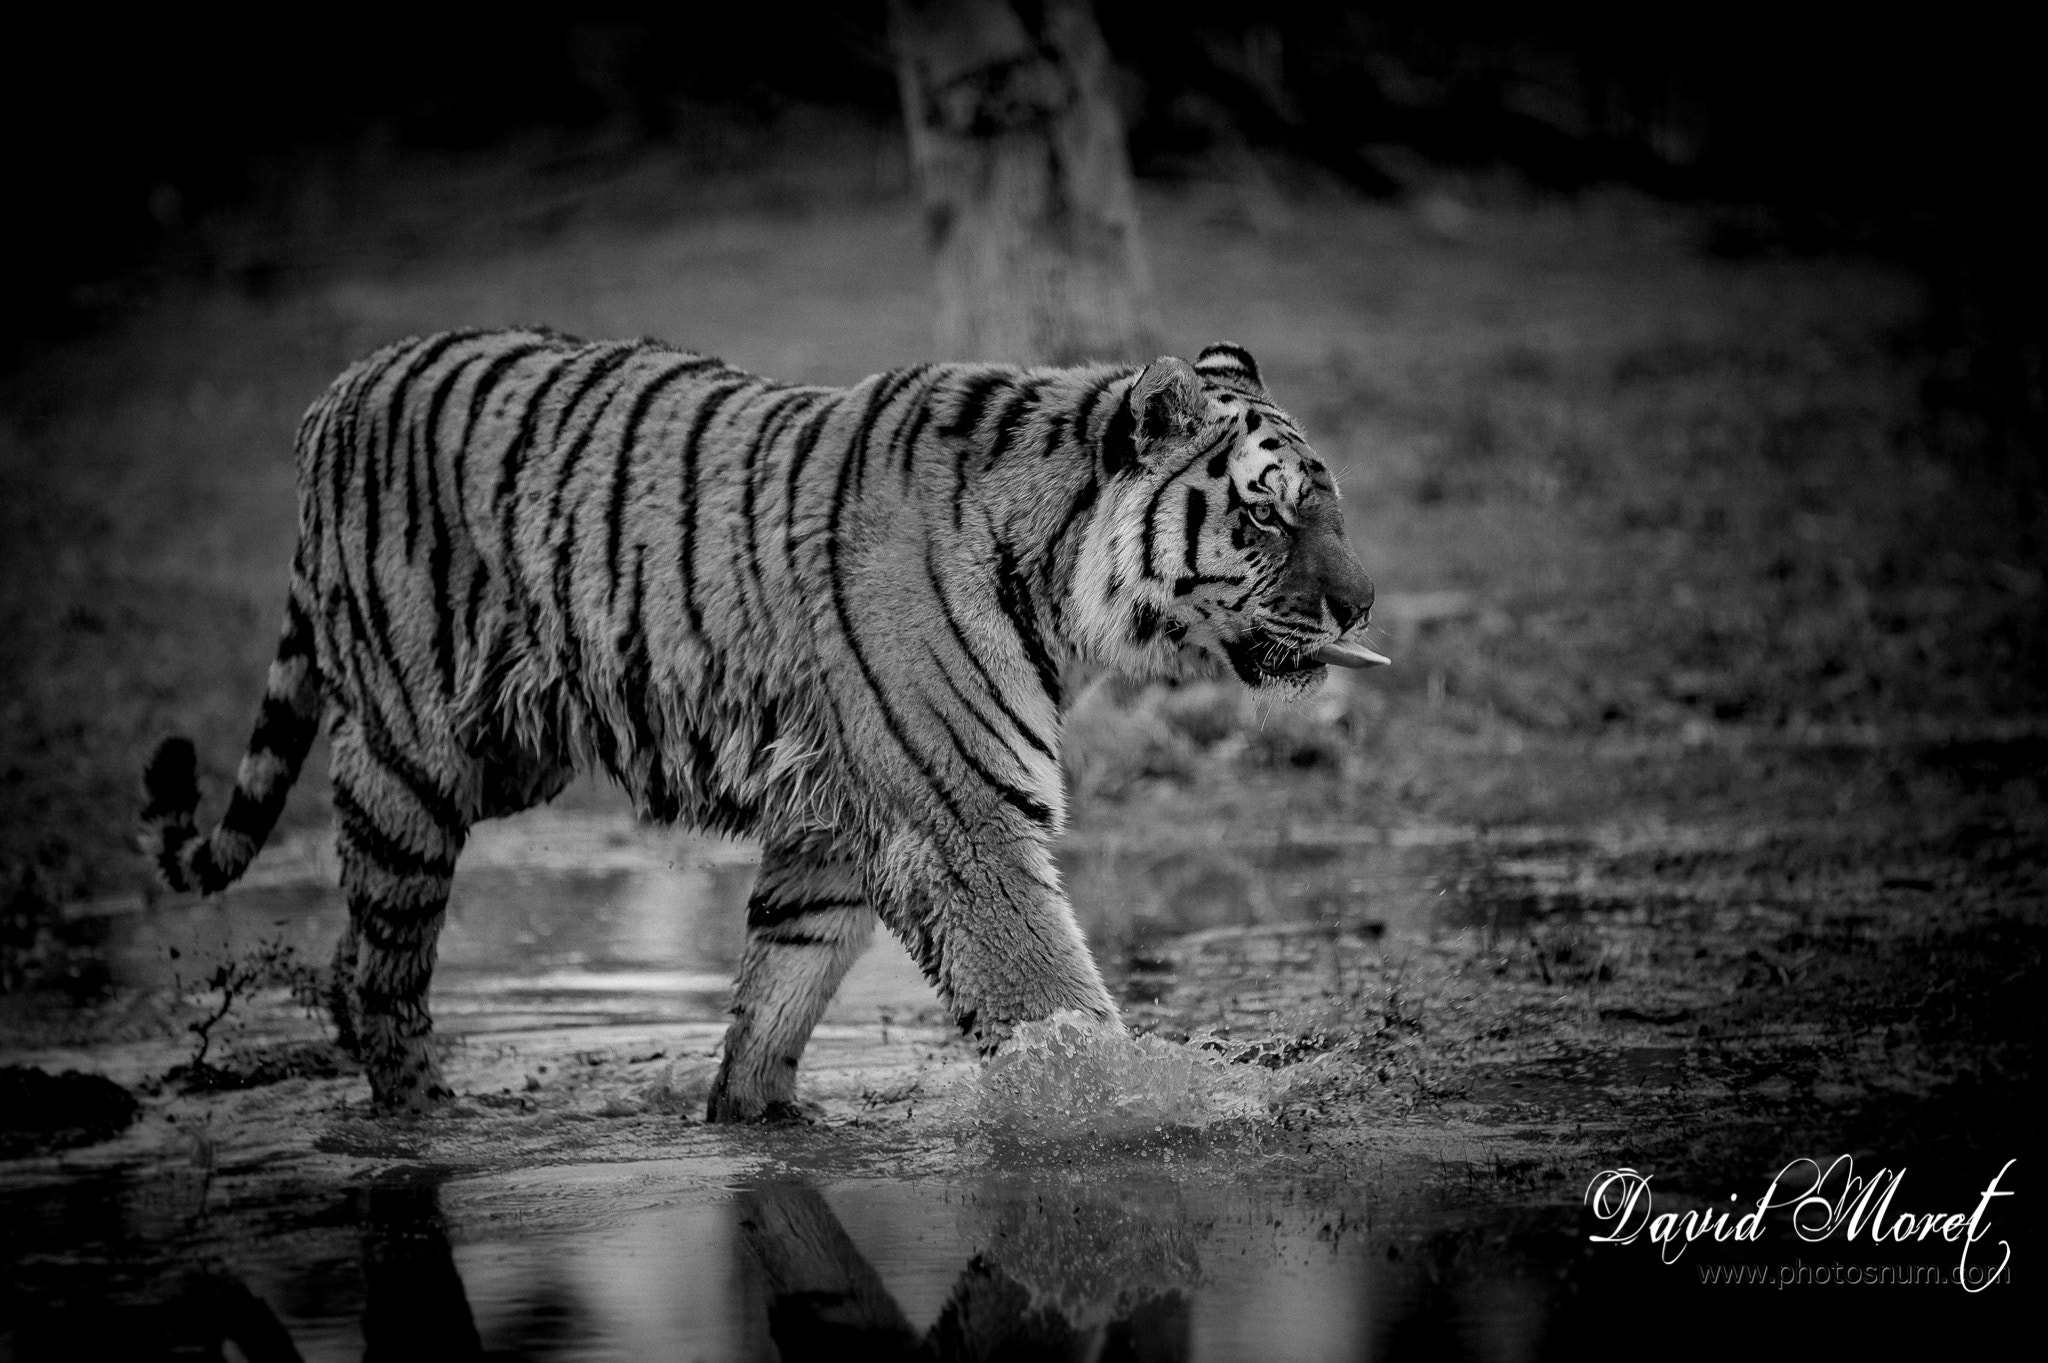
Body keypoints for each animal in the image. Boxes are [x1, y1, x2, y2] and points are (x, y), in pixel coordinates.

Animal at [140, 329, 1384, 1119]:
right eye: (1267, 515)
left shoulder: (834, 828)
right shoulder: (963, 824)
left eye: (1330, 504)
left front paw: (755, 1121)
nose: (1363, 606)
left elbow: (774, 998)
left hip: (510, 758)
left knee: (354, 949)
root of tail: (340, 391)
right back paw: (423, 1123)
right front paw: (1142, 1108)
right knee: (383, 972)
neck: (1059, 585)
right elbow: (1052, 1002)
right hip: (415, 757)